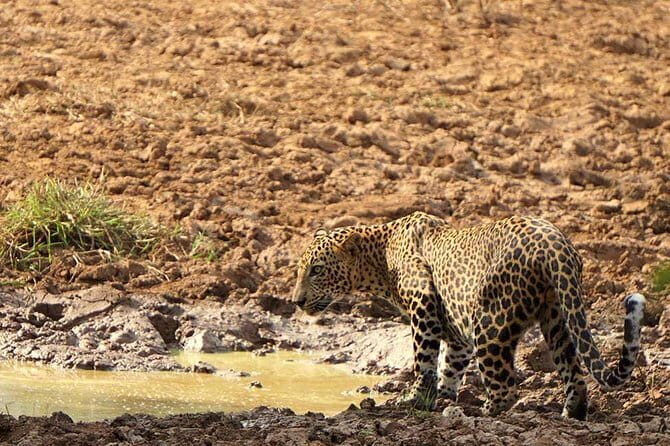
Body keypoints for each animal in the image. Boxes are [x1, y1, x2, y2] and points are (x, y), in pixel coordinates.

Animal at [291, 211, 646, 420]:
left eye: (317, 270)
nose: (296, 301)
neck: (379, 253)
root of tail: (555, 244)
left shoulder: (423, 303)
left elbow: (424, 360)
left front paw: (416, 399)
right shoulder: (454, 329)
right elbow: (451, 364)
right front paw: (445, 397)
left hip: (491, 323)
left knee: (505, 386)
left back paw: (482, 414)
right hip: (558, 316)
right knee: (574, 371)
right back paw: (571, 413)